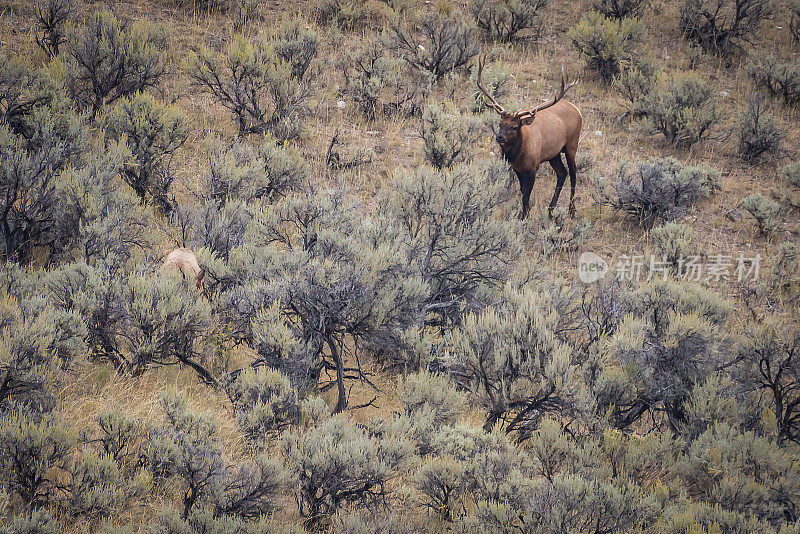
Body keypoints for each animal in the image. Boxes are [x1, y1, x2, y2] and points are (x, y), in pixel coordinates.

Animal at [476, 55, 580, 219]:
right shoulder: (517, 169)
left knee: (573, 174)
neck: (518, 155)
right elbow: (523, 192)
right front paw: (524, 213)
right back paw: (550, 209)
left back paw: (571, 210)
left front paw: (524, 216)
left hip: (572, 145)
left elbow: (526, 194)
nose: (500, 138)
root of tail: (577, 110)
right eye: (500, 124)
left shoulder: (533, 167)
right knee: (562, 173)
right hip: (554, 153)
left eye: (515, 127)